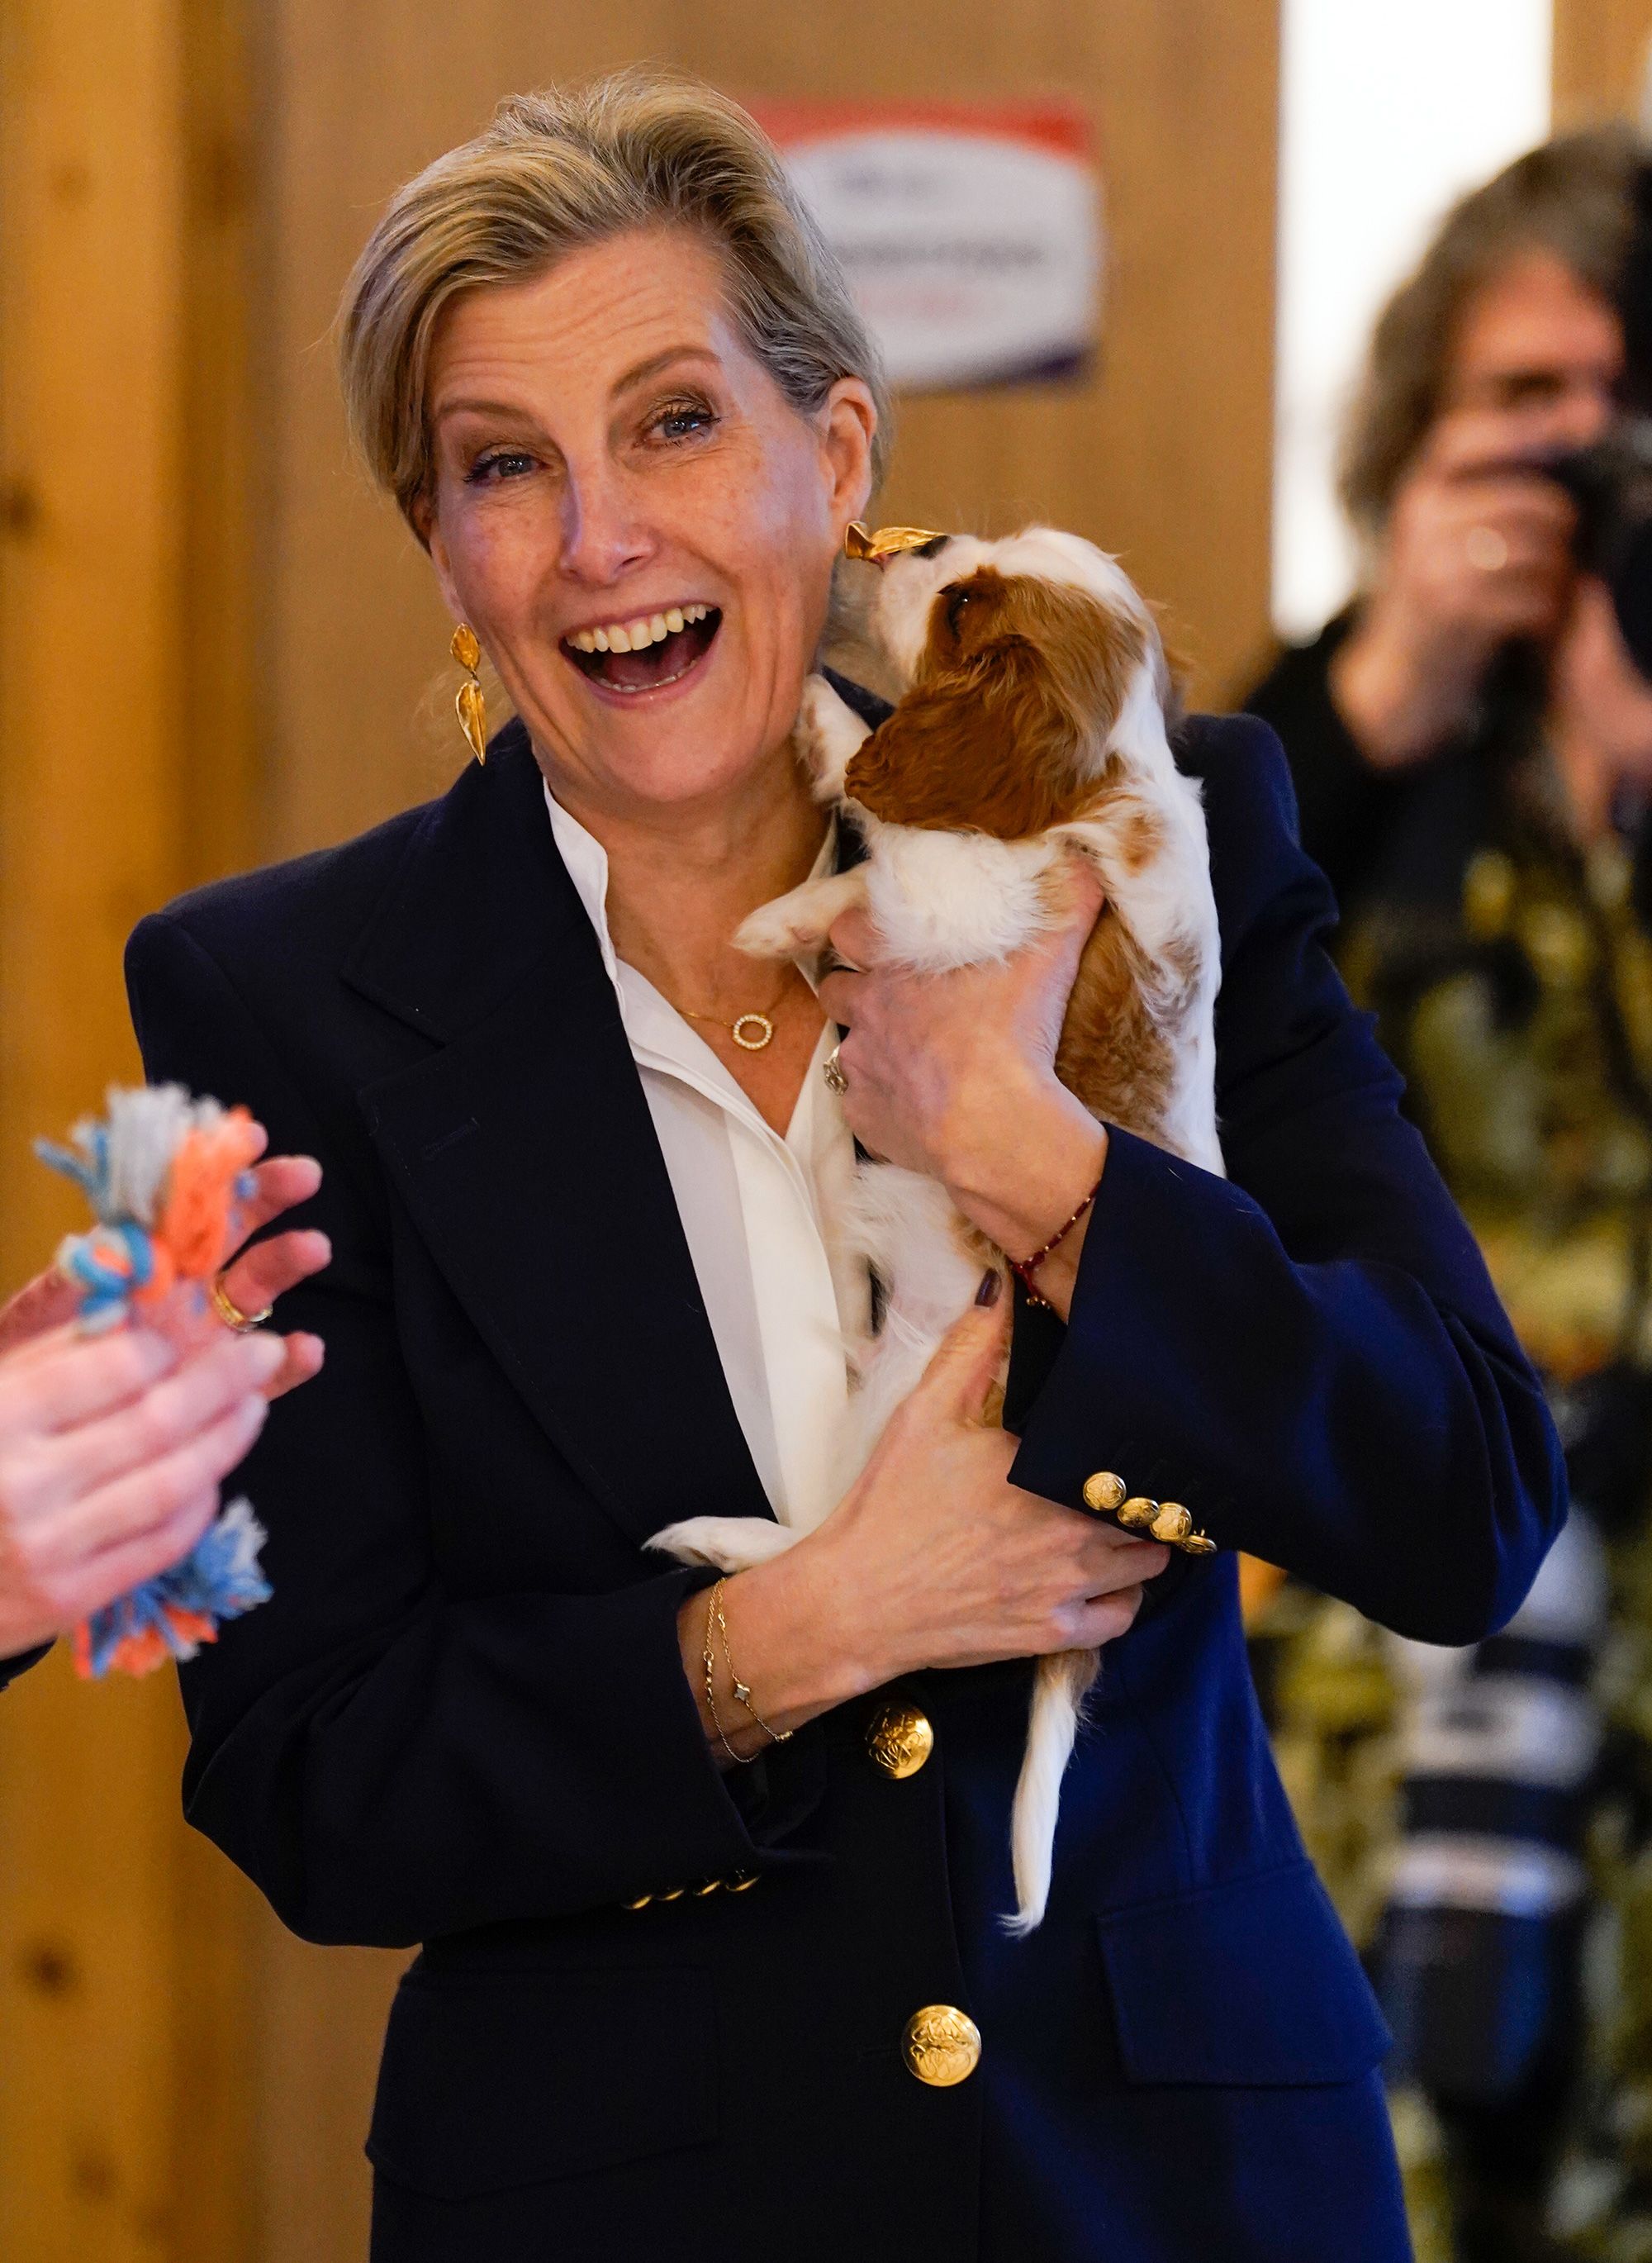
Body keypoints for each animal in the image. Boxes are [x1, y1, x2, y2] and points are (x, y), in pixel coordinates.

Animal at [656, 525, 1222, 1928]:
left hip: (910, 1393)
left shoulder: (968, 911)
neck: (1098, 777)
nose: (940, 541)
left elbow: (884, 847)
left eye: (961, 606)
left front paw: (786, 899)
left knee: (825, 1543)